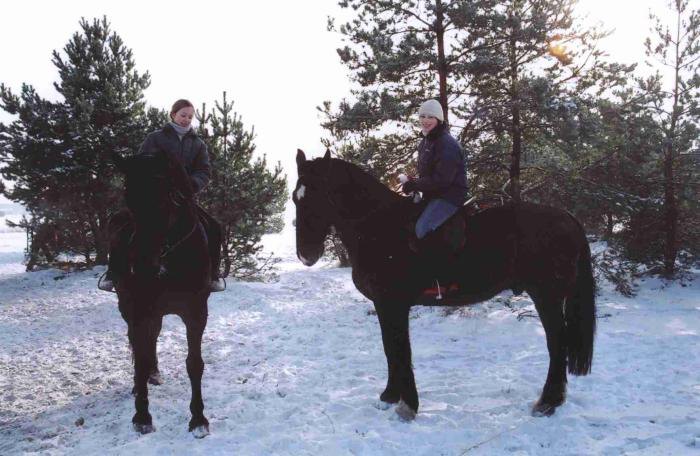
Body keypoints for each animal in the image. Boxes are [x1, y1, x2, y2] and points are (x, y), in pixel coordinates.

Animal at [110, 151, 211, 438]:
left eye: (165, 198)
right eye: (128, 197)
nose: (143, 265)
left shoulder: (197, 313)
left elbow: (194, 363)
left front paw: (198, 419)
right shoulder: (139, 310)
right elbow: (140, 357)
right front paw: (142, 417)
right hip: (129, 308)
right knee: (139, 344)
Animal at [292, 150, 592, 420]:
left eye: (321, 196)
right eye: (296, 198)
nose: (306, 255)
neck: (378, 227)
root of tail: (568, 218)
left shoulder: (394, 304)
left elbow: (401, 349)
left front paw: (408, 405)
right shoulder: (383, 305)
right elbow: (390, 349)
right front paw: (390, 396)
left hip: (546, 296)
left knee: (557, 344)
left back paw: (548, 402)